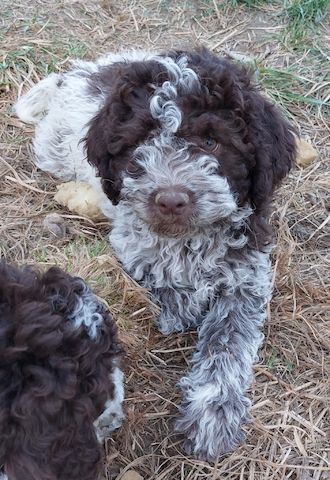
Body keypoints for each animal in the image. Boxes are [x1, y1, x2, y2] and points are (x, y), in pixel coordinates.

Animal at [14, 47, 296, 460]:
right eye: (142, 141)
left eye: (211, 142)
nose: (171, 199)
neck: (188, 240)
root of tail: (86, 72)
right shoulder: (130, 242)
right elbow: (162, 290)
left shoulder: (248, 271)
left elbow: (230, 339)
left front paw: (214, 412)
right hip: (56, 149)